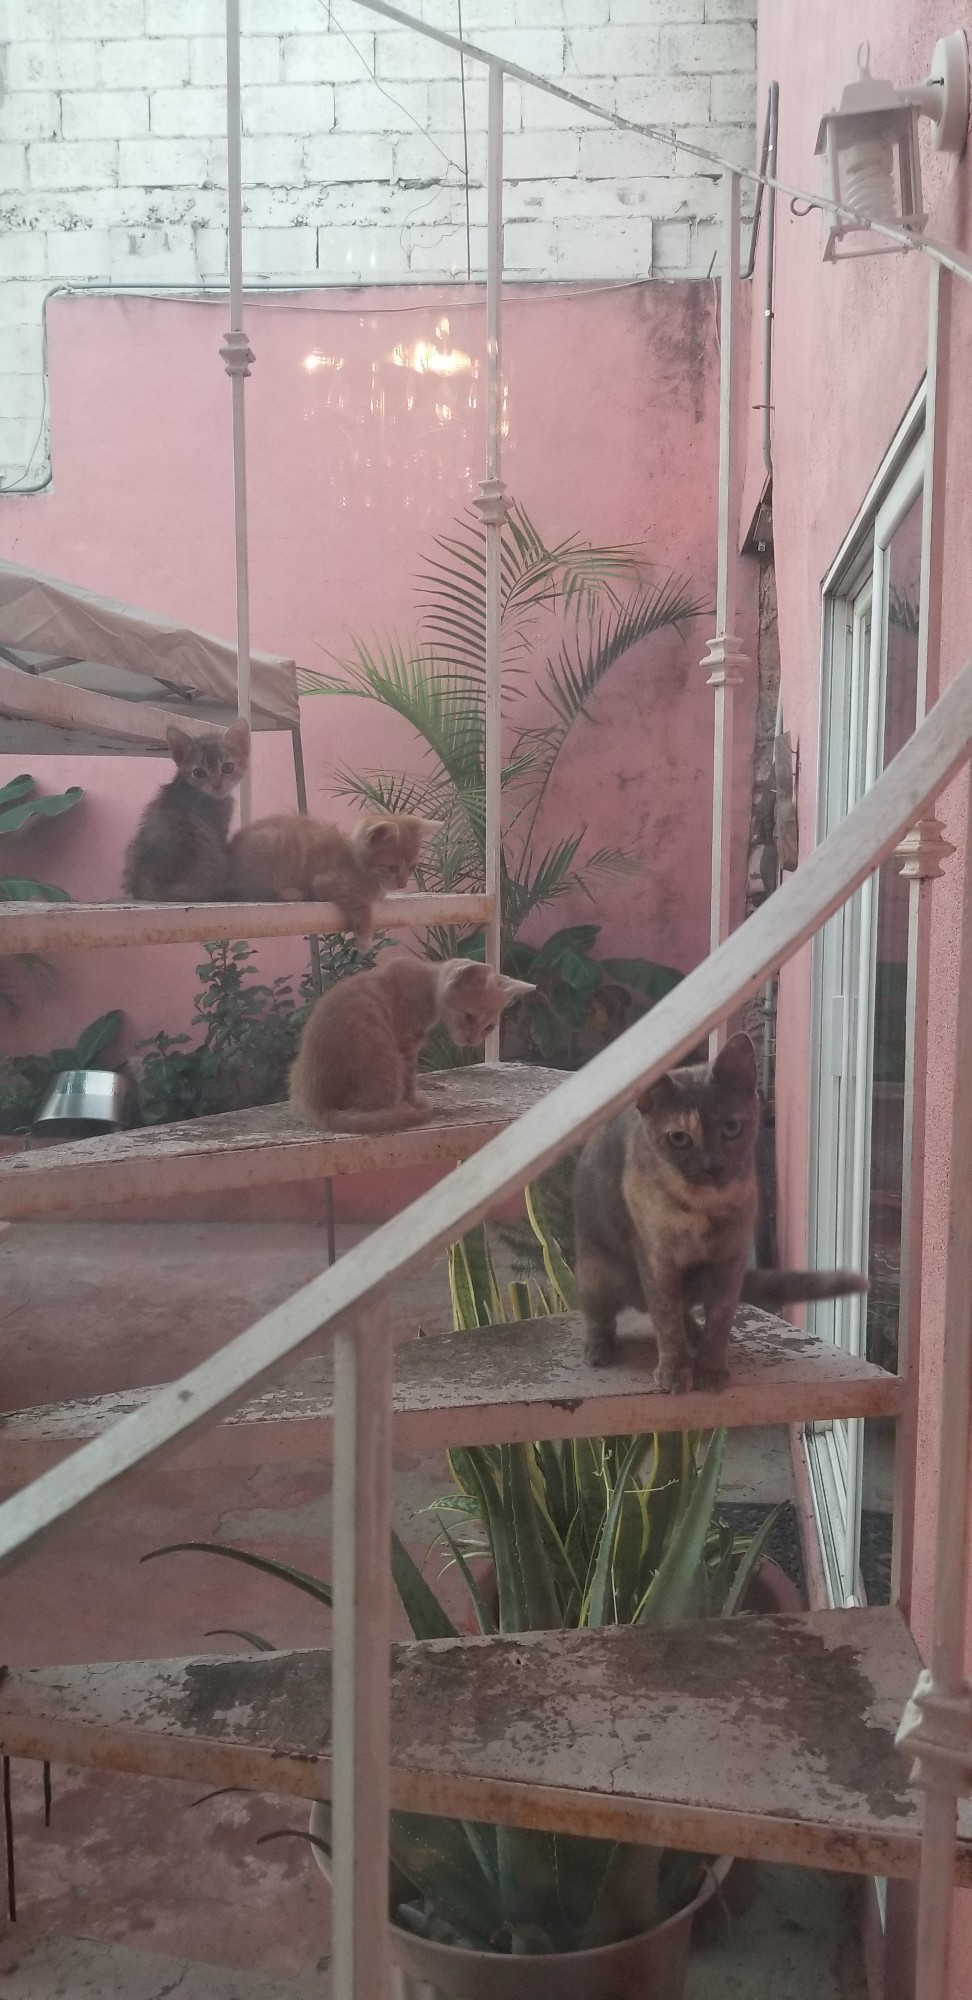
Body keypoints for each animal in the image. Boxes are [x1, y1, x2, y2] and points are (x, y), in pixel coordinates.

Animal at [226, 808, 438, 948]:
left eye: (412, 867)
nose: (402, 884)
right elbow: (361, 905)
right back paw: (291, 893)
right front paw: (365, 937)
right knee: (254, 892)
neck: (356, 861)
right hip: (269, 847)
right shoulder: (327, 882)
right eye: (391, 867)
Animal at [288, 956, 536, 1136]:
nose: (472, 1040)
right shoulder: (406, 1044)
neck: (428, 985)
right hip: (386, 1064)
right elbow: (409, 1079)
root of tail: (318, 1105)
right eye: (469, 1017)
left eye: (489, 1027)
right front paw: (413, 1101)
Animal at [568, 1032, 864, 1392]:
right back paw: (599, 1348)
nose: (712, 1166)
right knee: (600, 1315)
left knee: (684, 1311)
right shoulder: (655, 1256)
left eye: (732, 1127)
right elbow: (665, 1316)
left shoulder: (731, 1257)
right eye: (678, 1138)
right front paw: (675, 1371)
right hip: (595, 1270)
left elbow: (720, 1317)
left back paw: (694, 1334)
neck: (702, 1209)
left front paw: (710, 1369)